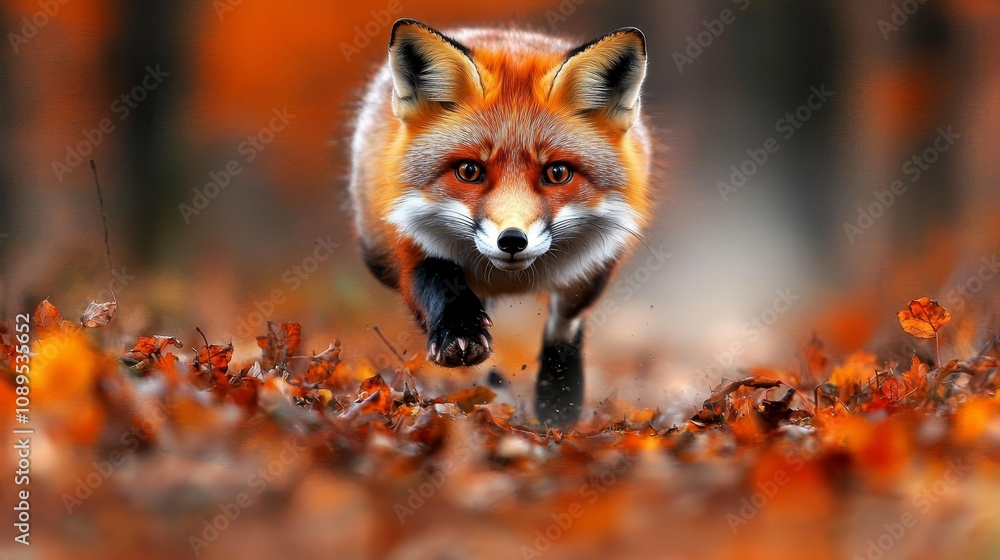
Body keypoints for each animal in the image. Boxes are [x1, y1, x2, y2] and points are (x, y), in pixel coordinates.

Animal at [349, 19, 653, 426]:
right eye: (469, 171)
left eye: (557, 173)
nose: (511, 241)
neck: (511, 281)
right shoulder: (409, 243)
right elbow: (437, 279)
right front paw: (460, 331)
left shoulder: (596, 263)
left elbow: (565, 322)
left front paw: (558, 400)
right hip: (375, 255)